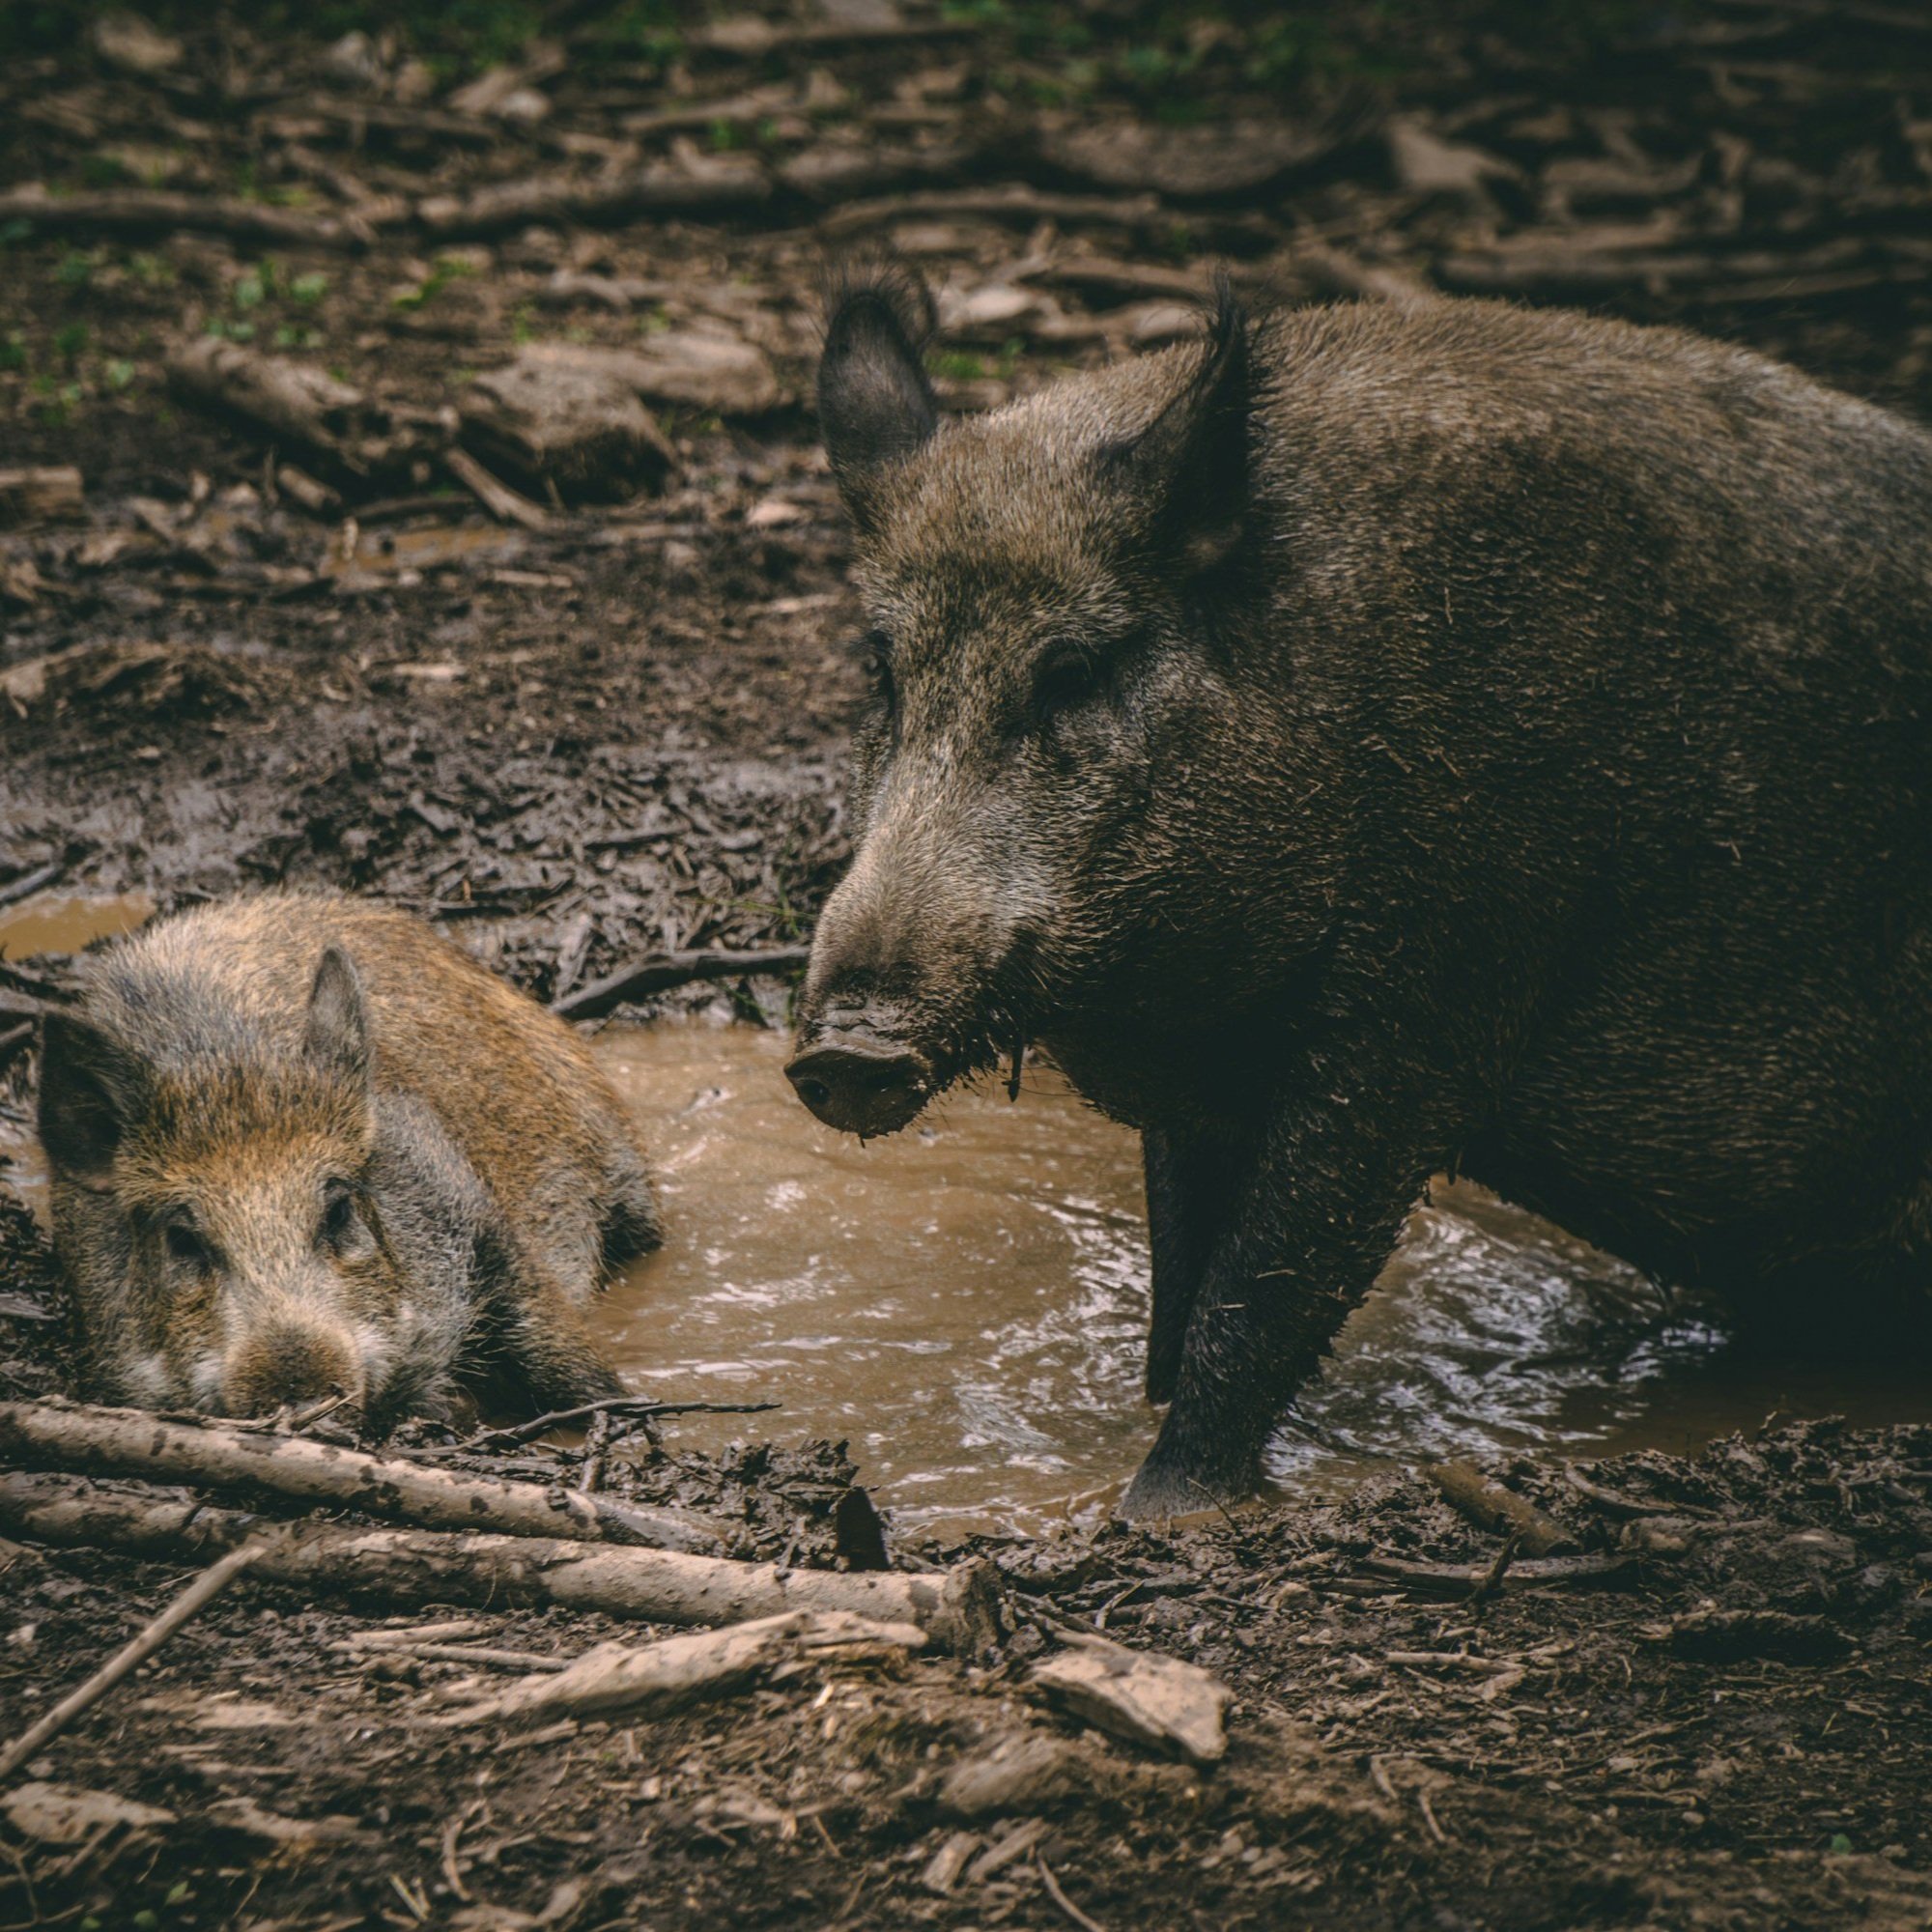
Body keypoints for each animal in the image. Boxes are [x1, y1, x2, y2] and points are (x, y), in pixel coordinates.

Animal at [39, 893, 656, 1427]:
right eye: (183, 1238)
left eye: (337, 1210)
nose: (301, 1393)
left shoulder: (481, 1221)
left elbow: (568, 1361)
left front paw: (628, 1409)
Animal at [787, 260, 1932, 1515]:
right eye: (885, 669)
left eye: (1072, 670)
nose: (844, 1047)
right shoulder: (1210, 1065)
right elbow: (1181, 1273)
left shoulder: (1443, 980)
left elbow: (1267, 1279)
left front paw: (1158, 1506)